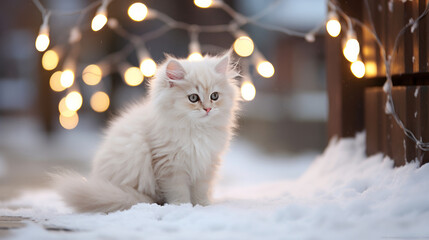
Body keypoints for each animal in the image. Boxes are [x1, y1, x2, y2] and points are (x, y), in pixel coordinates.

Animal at [51, 51, 239, 213]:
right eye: (193, 98)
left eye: (214, 96)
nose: (208, 109)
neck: (196, 130)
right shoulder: (170, 165)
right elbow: (179, 191)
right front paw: (183, 207)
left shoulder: (206, 163)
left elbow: (201, 190)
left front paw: (203, 206)